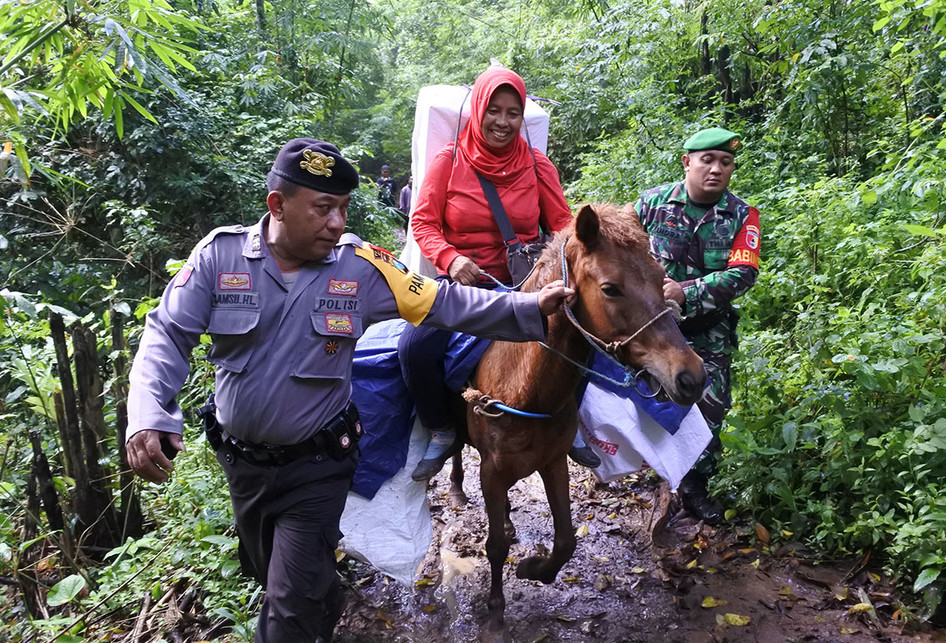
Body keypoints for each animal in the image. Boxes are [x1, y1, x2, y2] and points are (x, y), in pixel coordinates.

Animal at [454, 204, 704, 636]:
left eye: (660, 277)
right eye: (610, 288)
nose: (692, 377)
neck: (525, 388)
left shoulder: (553, 461)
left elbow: (567, 540)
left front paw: (534, 569)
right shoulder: (491, 469)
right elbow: (495, 547)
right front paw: (496, 612)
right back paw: (454, 487)